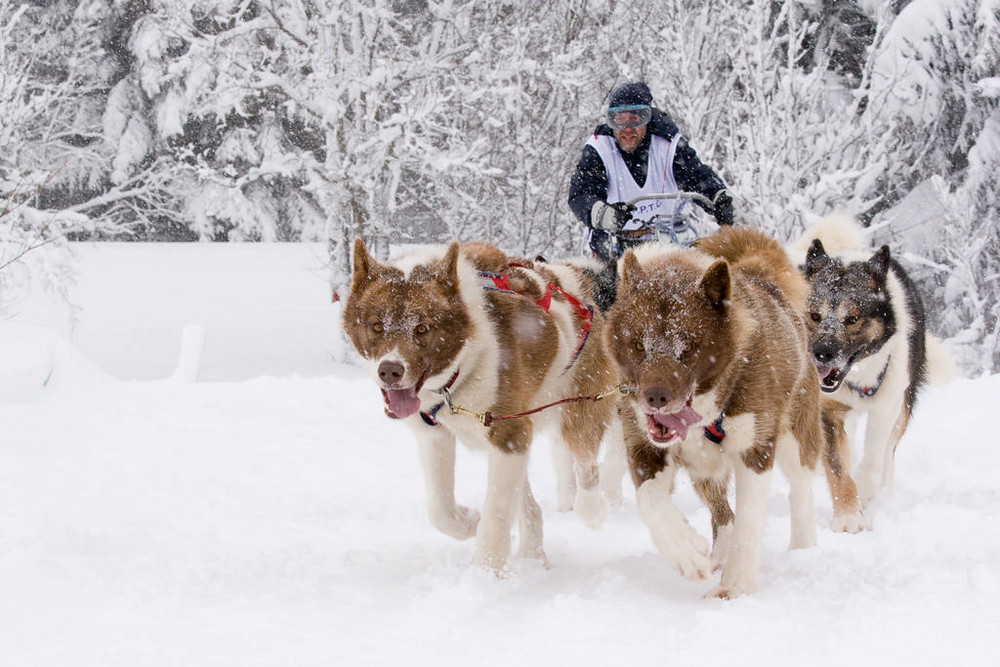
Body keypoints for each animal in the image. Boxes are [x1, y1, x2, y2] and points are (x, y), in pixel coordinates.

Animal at [342, 237, 616, 572]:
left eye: (423, 328)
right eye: (376, 325)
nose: (390, 370)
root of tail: (577, 281)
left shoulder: (508, 432)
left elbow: (496, 515)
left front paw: (486, 572)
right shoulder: (436, 433)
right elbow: (440, 510)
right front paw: (469, 521)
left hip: (577, 409)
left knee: (585, 463)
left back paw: (592, 510)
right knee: (529, 504)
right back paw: (532, 556)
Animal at [604, 227, 824, 596]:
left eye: (688, 347)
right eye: (638, 344)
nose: (655, 398)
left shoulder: (755, 449)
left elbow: (750, 520)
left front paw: (736, 587)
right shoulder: (644, 447)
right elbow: (650, 500)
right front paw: (686, 551)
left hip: (795, 436)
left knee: (801, 490)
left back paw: (803, 546)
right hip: (704, 469)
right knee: (723, 514)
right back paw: (719, 552)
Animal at [792, 214, 948, 506]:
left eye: (852, 318)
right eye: (815, 315)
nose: (822, 353)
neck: (856, 377)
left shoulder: (886, 406)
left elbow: (874, 457)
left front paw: (865, 491)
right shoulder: (826, 410)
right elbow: (838, 469)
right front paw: (848, 514)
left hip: (903, 402)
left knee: (888, 452)